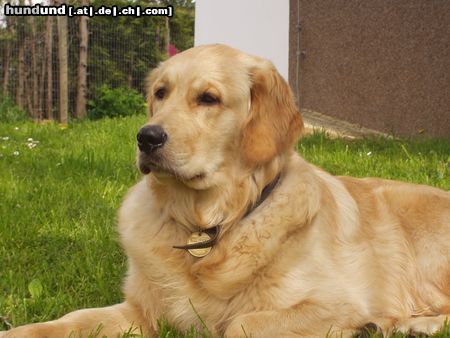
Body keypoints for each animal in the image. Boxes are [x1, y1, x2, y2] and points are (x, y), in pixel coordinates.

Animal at [0, 45, 450, 338]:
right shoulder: (141, 310)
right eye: (160, 93)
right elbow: (70, 320)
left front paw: (362, 324)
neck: (207, 226)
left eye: (208, 98)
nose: (146, 138)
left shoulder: (334, 301)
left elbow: (240, 323)